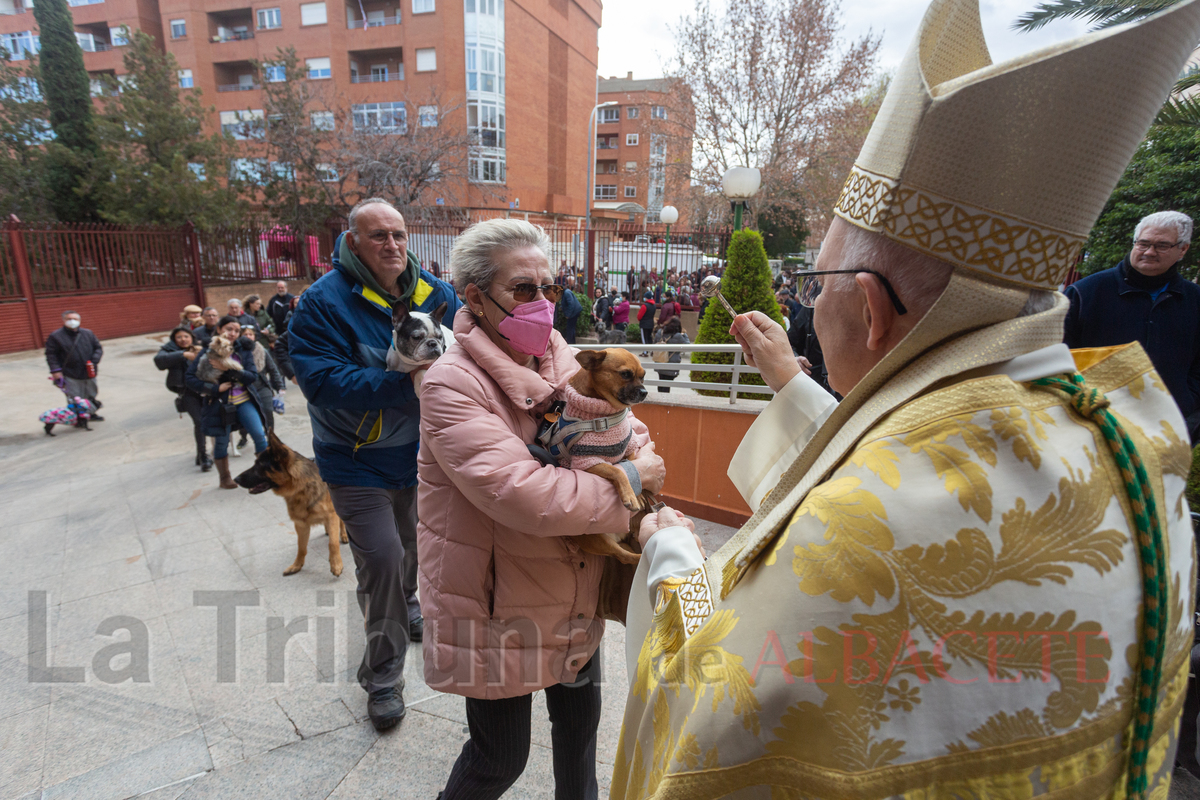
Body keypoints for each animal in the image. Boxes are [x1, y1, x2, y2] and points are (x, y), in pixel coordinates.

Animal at [234, 431, 348, 575]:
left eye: (259, 465)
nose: (235, 479)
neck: (301, 488)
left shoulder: (331, 515)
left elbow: (332, 543)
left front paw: (336, 564)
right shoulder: (300, 524)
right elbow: (301, 547)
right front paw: (297, 565)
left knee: (342, 522)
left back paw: (344, 535)